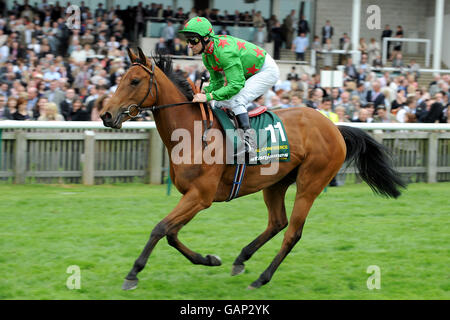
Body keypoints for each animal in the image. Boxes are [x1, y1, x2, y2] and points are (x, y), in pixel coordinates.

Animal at [99, 48, 404, 290]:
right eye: (120, 79)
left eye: (134, 81)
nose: (106, 114)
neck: (193, 133)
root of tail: (334, 127)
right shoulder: (192, 197)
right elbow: (172, 235)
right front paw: (209, 259)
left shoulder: (200, 196)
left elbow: (160, 228)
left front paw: (133, 274)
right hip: (276, 183)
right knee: (277, 222)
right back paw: (241, 259)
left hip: (310, 183)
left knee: (293, 232)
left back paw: (262, 278)